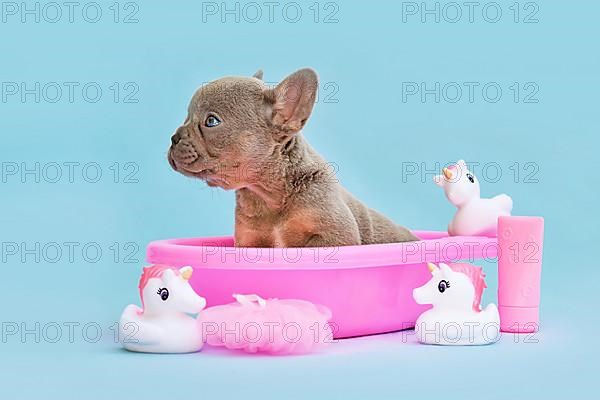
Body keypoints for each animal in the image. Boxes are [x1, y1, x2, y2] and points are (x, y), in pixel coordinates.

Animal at [169, 68, 418, 247]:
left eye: (211, 121)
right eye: (187, 117)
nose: (174, 138)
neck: (267, 193)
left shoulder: (335, 234)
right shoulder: (249, 241)